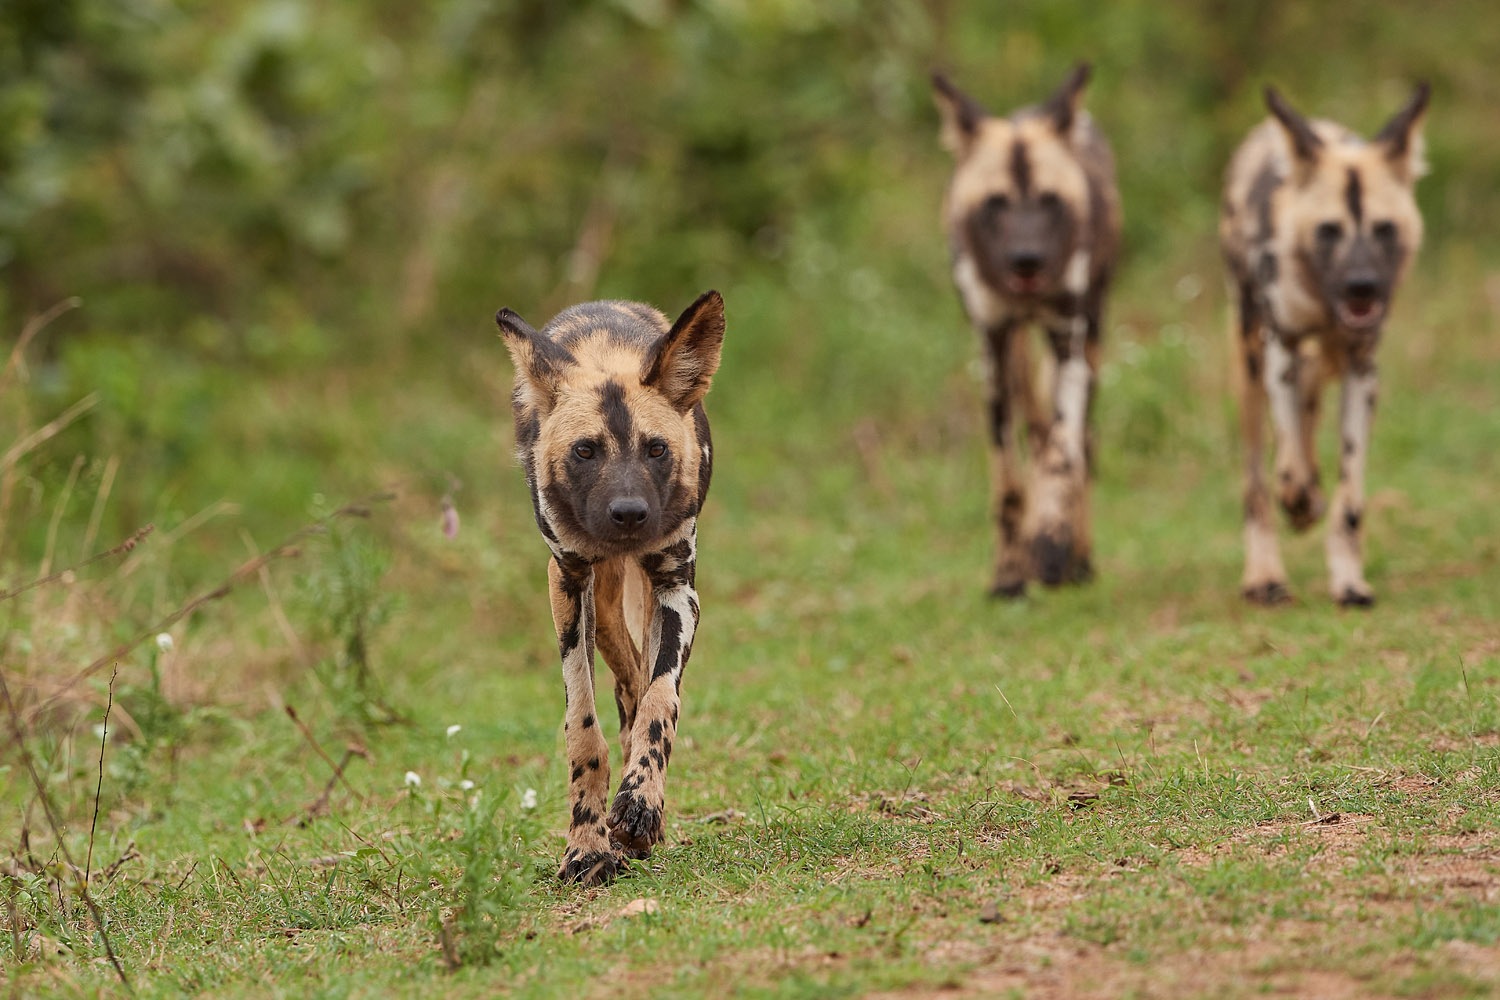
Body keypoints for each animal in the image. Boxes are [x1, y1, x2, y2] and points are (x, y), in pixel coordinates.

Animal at [495, 289, 723, 881]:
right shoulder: (569, 581)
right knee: (626, 675)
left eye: (656, 449)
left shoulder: (676, 588)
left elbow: (661, 704)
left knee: (641, 685)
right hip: (597, 595)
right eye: (585, 451)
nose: (629, 514)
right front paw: (587, 846)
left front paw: (640, 806)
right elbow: (584, 731)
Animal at [930, 66, 1122, 599]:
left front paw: (1052, 543)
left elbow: (1062, 454)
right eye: (995, 203)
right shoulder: (993, 345)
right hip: (1015, 354)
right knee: (1035, 434)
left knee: (1079, 443)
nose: (1027, 259)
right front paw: (1009, 573)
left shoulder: (1069, 340)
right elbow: (1008, 481)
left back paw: (1078, 558)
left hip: (1090, 342)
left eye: (1050, 200)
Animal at [1218, 82, 1428, 605]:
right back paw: (1265, 574)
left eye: (1384, 228)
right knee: (1257, 481)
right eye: (1329, 231)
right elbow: (1289, 469)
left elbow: (1349, 500)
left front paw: (1349, 581)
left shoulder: (1361, 369)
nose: (1362, 286)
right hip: (1250, 365)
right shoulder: (1281, 349)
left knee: (1311, 391)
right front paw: (1300, 501)